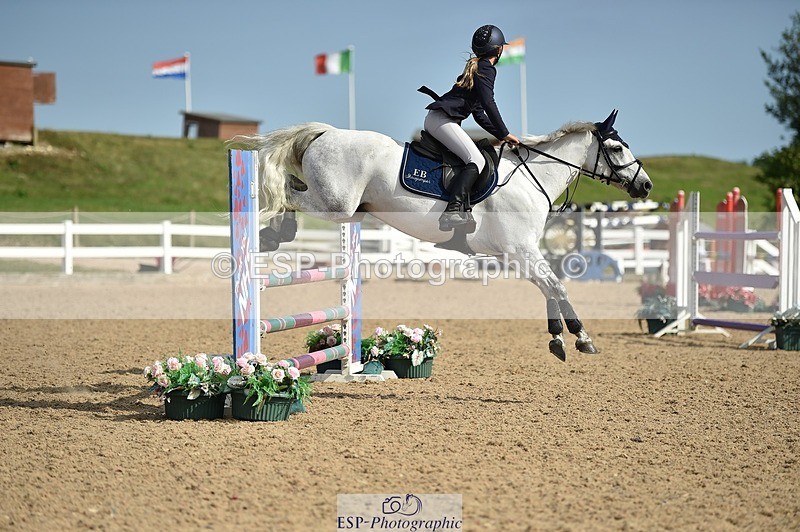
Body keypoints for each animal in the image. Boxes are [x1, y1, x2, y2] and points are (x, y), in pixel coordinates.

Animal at [230, 110, 652, 360]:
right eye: (616, 148)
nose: (645, 186)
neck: (533, 179)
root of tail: (326, 133)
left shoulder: (516, 254)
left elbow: (550, 288)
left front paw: (559, 339)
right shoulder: (520, 250)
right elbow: (558, 287)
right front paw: (580, 337)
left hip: (347, 208)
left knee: (292, 188)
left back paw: (274, 234)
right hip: (337, 204)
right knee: (288, 191)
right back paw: (274, 232)